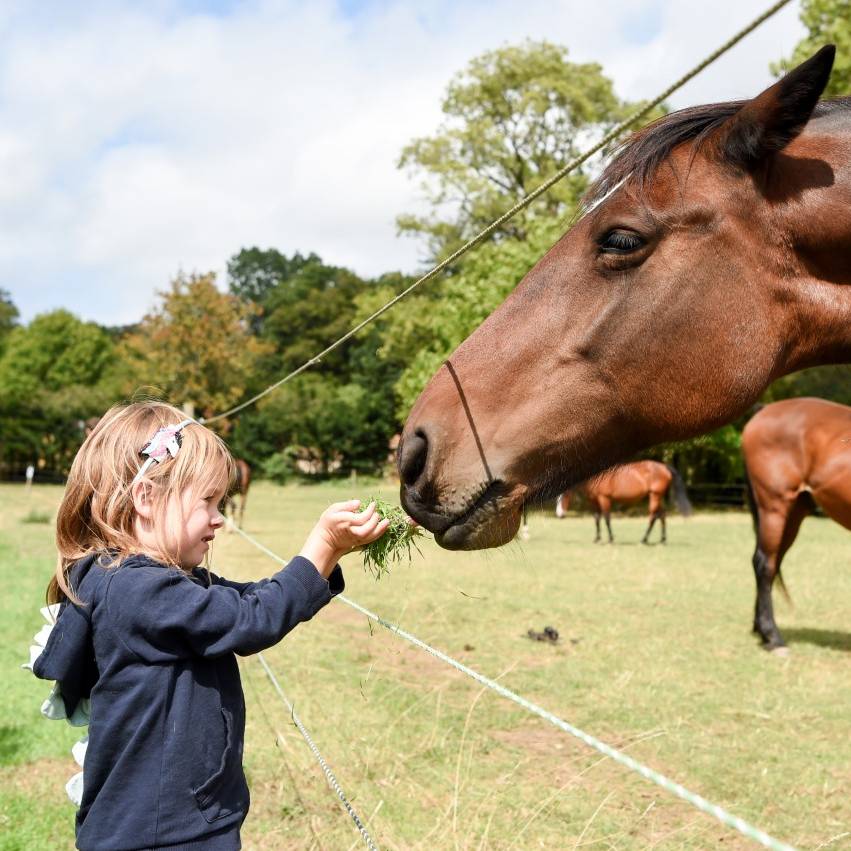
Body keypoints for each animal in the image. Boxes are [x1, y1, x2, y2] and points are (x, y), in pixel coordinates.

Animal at [555, 460, 692, 544]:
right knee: (662, 515)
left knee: (653, 516)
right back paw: (662, 539)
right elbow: (597, 518)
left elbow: (607, 518)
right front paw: (597, 538)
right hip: (657, 497)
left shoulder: (604, 498)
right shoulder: (595, 501)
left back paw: (644, 539)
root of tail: (664, 467)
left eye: (564, 496)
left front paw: (610, 539)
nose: (560, 515)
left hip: (655, 496)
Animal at [743, 397, 851, 651]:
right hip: (774, 506)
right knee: (764, 564)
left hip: (794, 513)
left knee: (773, 564)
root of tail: (765, 410)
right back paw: (773, 637)